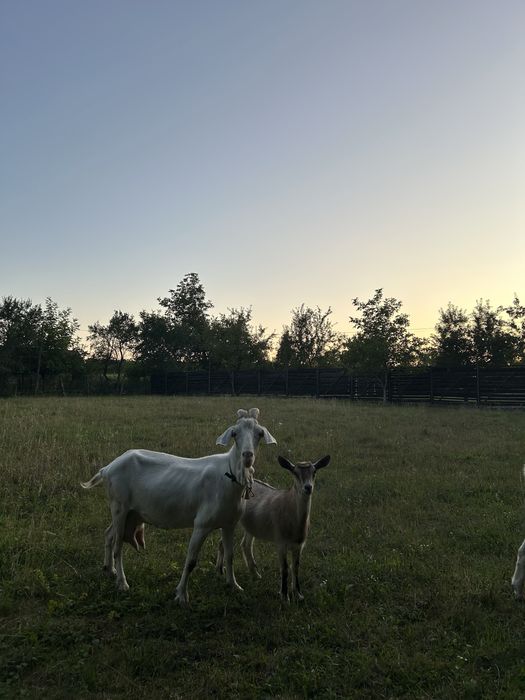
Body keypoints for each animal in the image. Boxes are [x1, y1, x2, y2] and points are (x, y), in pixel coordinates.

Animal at [81, 408, 276, 605]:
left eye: (259, 433)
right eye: (235, 434)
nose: (247, 456)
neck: (228, 475)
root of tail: (107, 469)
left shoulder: (229, 524)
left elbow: (230, 556)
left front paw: (234, 585)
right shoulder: (202, 524)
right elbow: (190, 561)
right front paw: (181, 594)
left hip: (127, 511)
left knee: (109, 534)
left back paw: (109, 569)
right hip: (119, 506)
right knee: (118, 546)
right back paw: (122, 583)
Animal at [217, 454, 330, 600]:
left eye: (314, 472)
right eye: (295, 473)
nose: (308, 487)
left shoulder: (299, 545)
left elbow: (296, 567)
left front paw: (298, 595)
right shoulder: (280, 541)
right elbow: (285, 568)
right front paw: (284, 596)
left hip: (250, 525)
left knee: (245, 544)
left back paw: (255, 574)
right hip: (231, 520)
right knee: (223, 543)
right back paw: (220, 571)